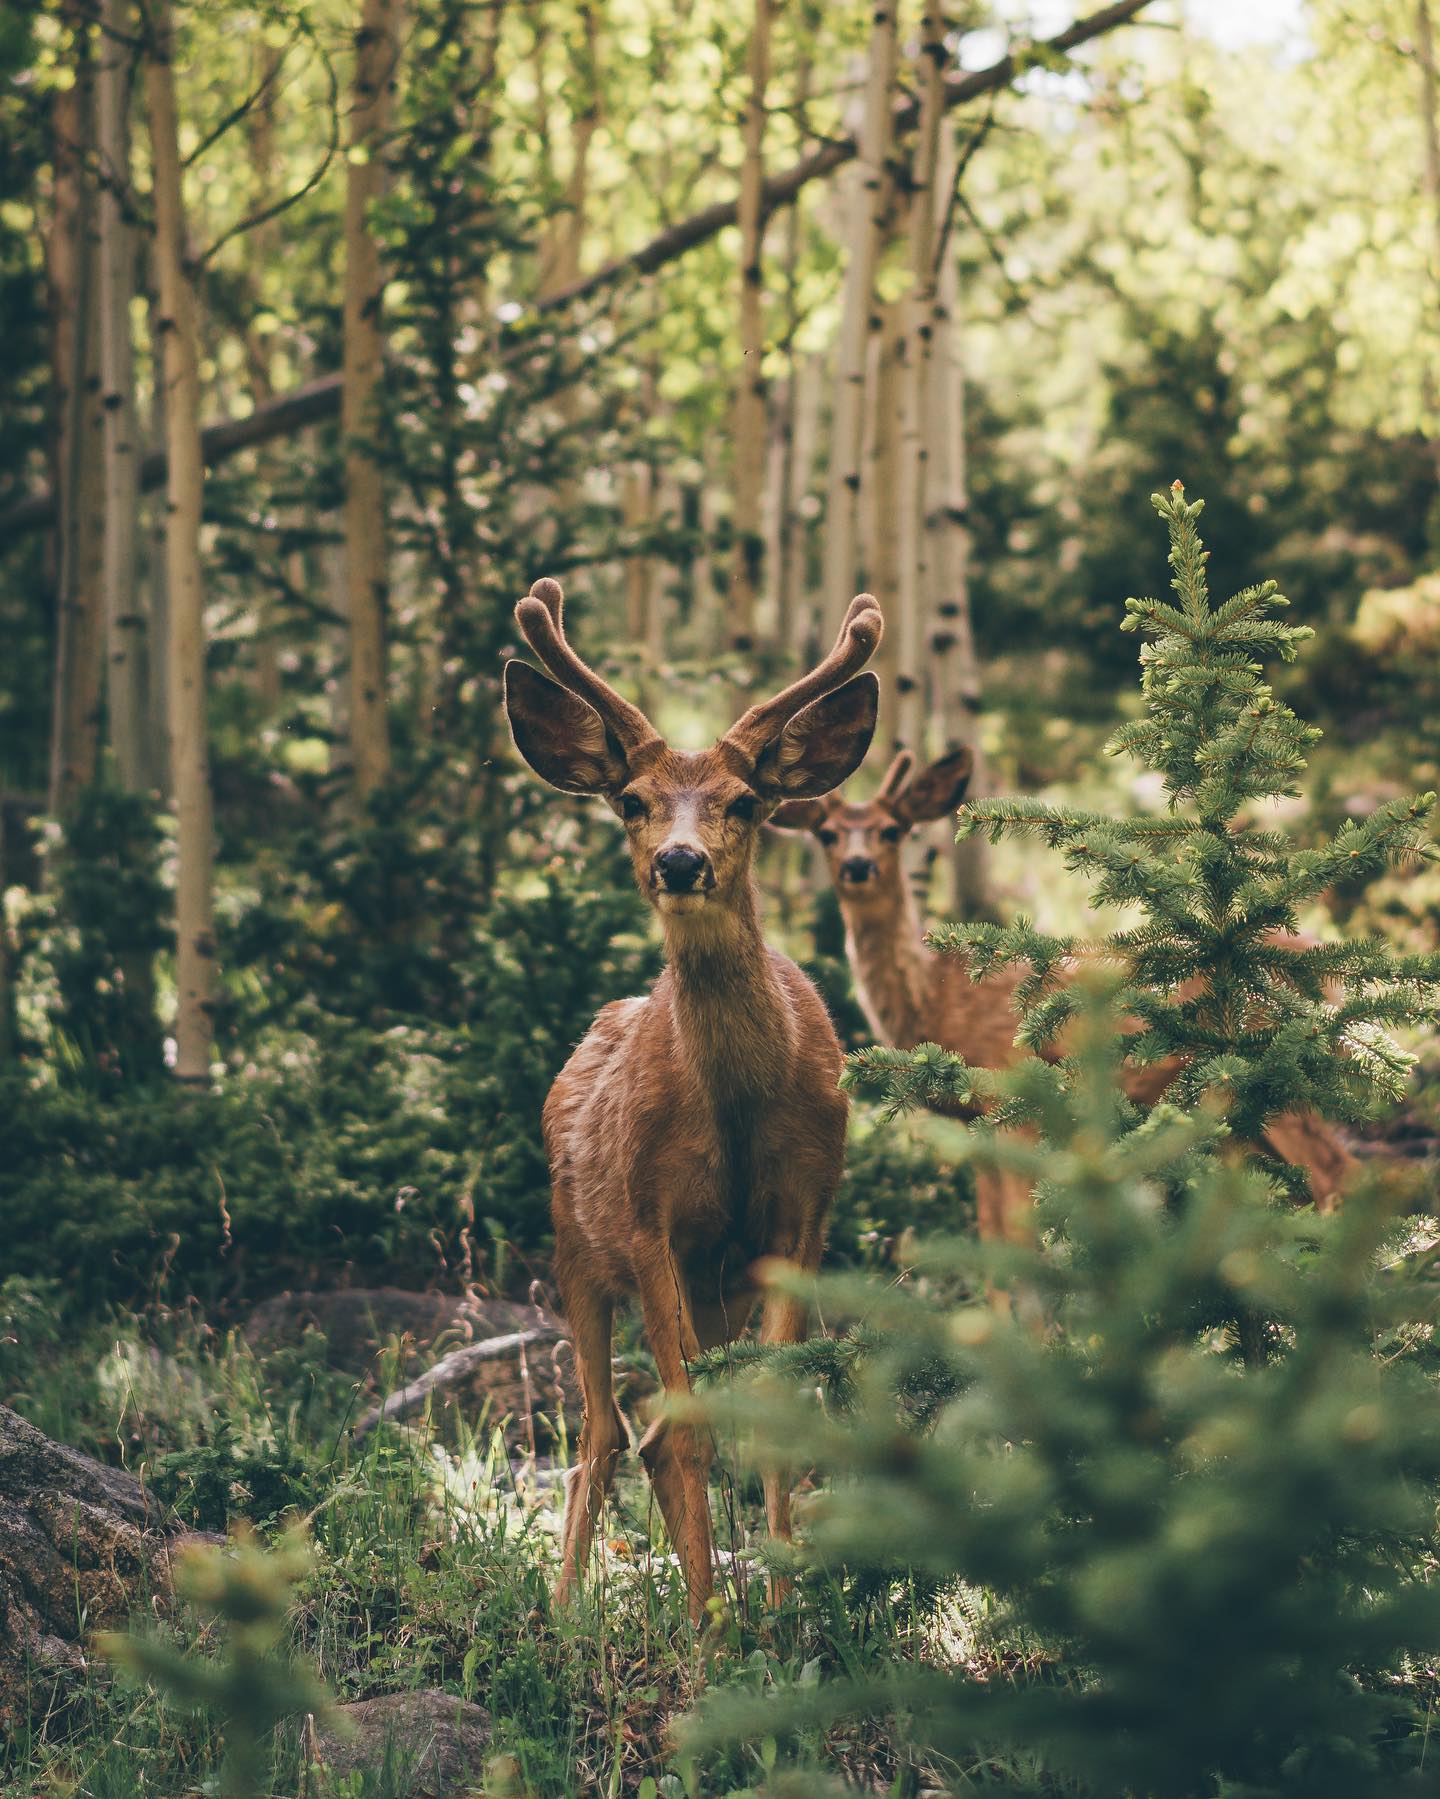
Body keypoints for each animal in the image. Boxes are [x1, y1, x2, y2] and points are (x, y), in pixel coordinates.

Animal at [504, 575, 889, 1619]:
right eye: (632, 800)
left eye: (746, 800)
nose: (679, 861)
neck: (741, 1105)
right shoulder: (651, 1223)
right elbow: (684, 1431)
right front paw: (712, 1630)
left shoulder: (804, 1215)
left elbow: (775, 1422)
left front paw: (787, 1610)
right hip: (577, 1251)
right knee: (605, 1430)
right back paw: (568, 1608)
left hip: (716, 1285)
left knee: (644, 1427)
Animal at [770, 744, 1353, 1252]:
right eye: (827, 834)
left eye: (892, 831)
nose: (858, 866)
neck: (935, 997)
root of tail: (1328, 970)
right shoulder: (974, 1122)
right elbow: (991, 1237)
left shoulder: (1014, 1096)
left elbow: (1018, 1232)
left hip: (1280, 1072)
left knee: (1338, 1173)